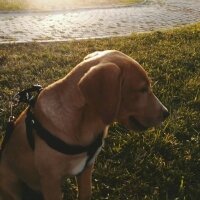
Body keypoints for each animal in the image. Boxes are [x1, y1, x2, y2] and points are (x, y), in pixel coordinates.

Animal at [0, 50, 169, 200]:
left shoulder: (87, 168)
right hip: (10, 182)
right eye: (142, 89)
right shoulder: (51, 181)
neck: (84, 123)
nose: (166, 113)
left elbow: (86, 194)